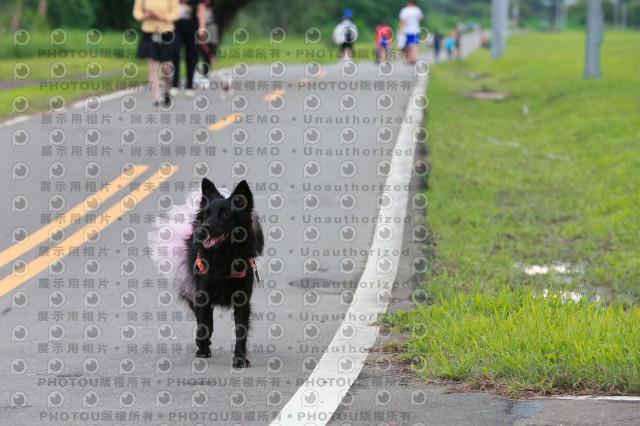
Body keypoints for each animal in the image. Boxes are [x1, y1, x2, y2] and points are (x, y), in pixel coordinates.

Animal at [182, 178, 262, 368]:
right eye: (206, 215)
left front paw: (240, 358)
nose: (204, 227)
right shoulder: (202, 293)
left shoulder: (242, 300)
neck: (225, 254)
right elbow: (203, 326)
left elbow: (241, 331)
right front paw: (202, 347)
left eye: (225, 214)